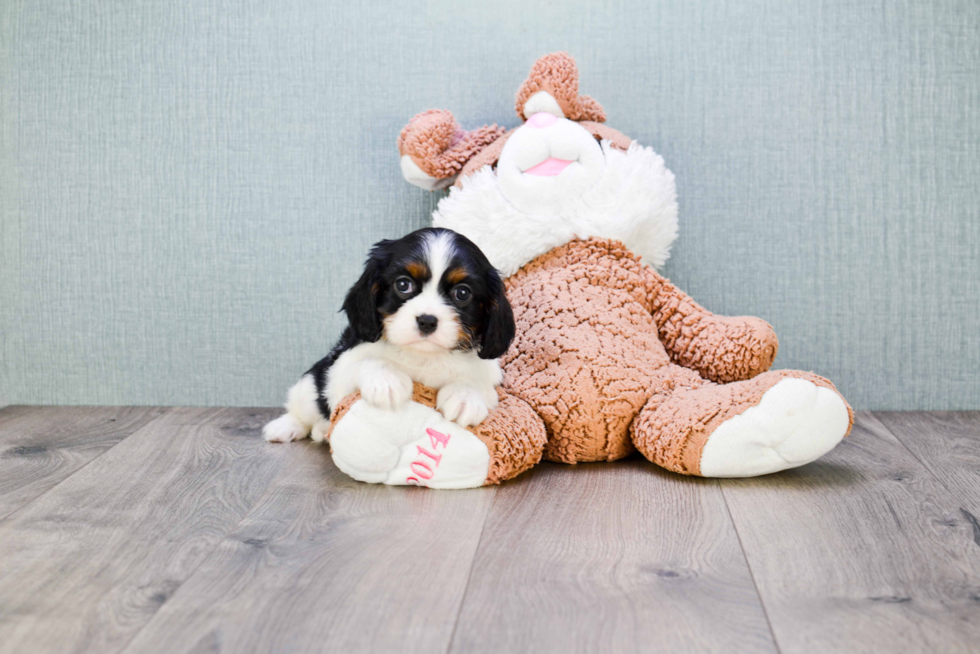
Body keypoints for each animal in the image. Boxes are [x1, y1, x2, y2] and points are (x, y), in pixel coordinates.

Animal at [264, 227, 516, 446]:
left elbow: (476, 382)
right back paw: (287, 427)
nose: (427, 320)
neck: (423, 355)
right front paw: (387, 380)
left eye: (462, 293)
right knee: (302, 408)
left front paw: (465, 397)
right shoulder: (340, 373)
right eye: (403, 284)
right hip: (309, 386)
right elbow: (366, 362)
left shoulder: (490, 379)